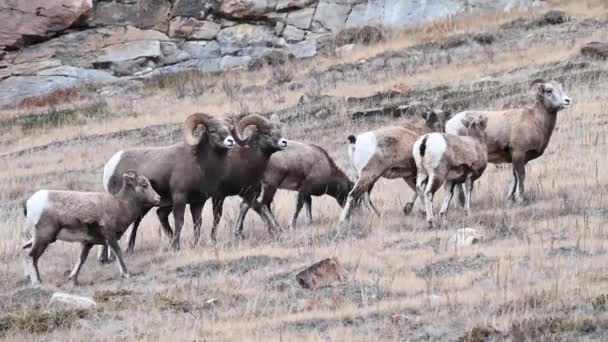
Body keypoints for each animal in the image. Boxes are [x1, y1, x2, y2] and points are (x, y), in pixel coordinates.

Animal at [22, 170, 162, 286]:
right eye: (144, 185)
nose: (158, 198)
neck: (119, 206)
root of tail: (29, 203)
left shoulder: (87, 243)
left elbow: (81, 259)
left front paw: (73, 279)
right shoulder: (110, 236)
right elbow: (118, 252)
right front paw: (126, 274)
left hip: (38, 239)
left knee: (26, 251)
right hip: (43, 239)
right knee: (31, 256)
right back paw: (37, 282)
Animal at [100, 112, 235, 256]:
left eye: (229, 128)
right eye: (212, 130)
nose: (230, 141)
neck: (200, 164)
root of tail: (111, 165)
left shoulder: (198, 202)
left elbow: (197, 223)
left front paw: (194, 245)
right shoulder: (180, 198)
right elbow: (179, 221)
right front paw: (176, 247)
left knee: (138, 223)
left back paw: (128, 250)